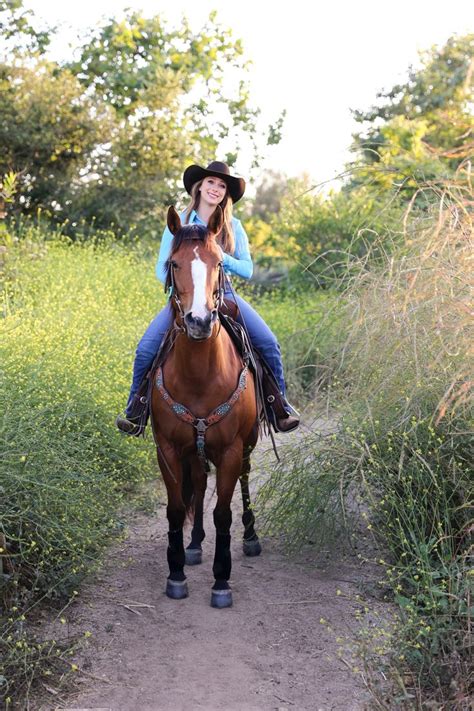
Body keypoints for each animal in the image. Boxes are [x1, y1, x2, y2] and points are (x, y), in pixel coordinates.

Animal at [151, 204, 262, 608]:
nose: (199, 321)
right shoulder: (167, 448)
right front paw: (176, 573)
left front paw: (221, 582)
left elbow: (222, 514)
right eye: (174, 263)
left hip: (247, 444)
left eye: (218, 262)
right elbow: (175, 509)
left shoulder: (229, 449)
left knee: (244, 478)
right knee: (198, 483)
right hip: (194, 450)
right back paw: (195, 544)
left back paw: (251, 539)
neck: (200, 374)